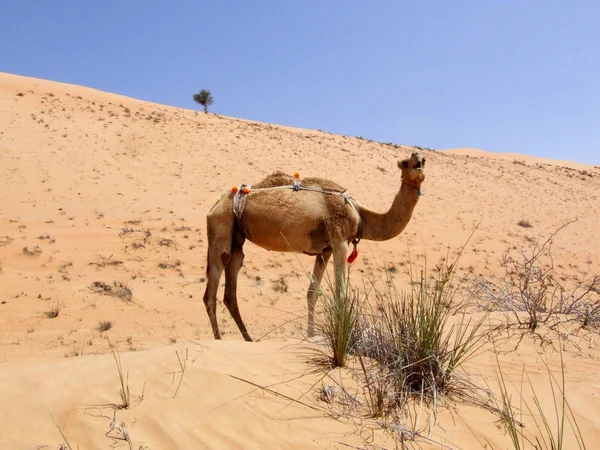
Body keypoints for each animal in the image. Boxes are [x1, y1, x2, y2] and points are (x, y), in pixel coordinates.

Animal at [203, 151, 426, 342]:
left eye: (422, 160)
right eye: (405, 163)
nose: (418, 159)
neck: (361, 216)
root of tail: (215, 205)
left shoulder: (324, 251)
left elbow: (312, 293)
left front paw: (311, 337)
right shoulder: (340, 240)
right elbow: (341, 294)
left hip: (236, 238)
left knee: (230, 288)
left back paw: (248, 339)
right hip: (221, 225)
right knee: (211, 290)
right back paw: (218, 339)